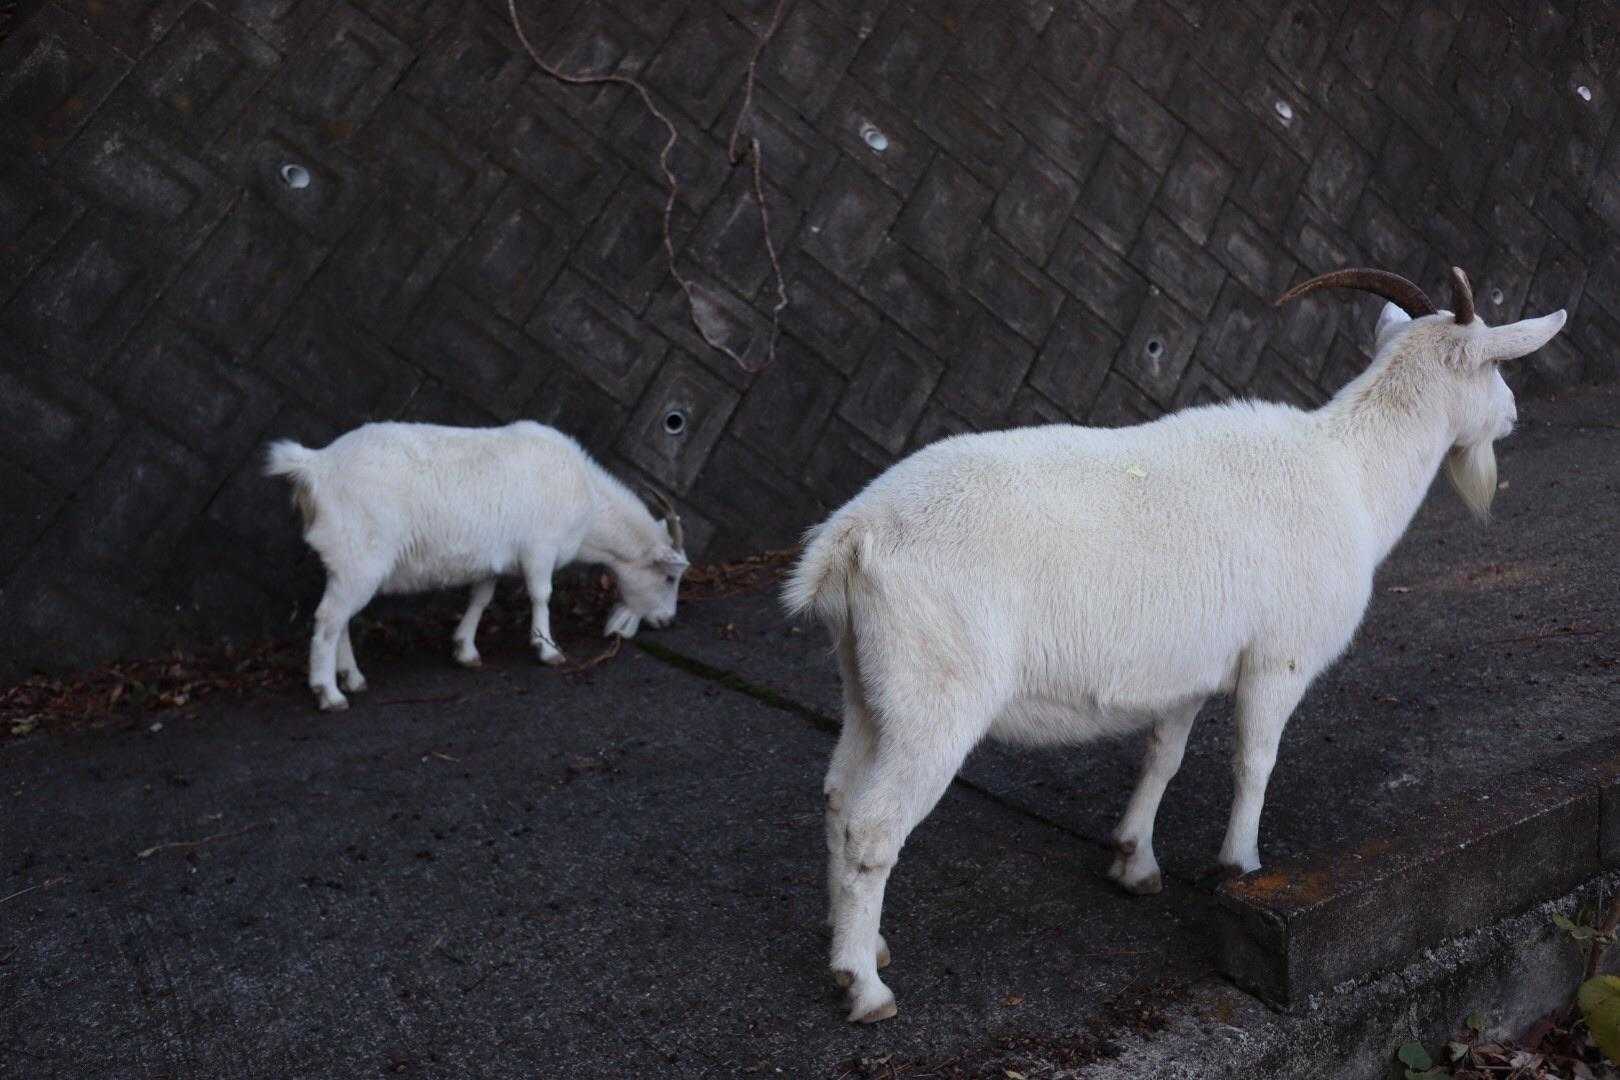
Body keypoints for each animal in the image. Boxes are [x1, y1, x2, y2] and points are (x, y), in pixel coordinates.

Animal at [265, 420, 688, 711]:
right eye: (669, 578)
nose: (667, 621)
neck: (588, 501)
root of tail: (316, 465)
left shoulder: (493, 561)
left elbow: (481, 598)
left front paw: (465, 650)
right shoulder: (540, 548)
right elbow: (542, 594)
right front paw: (548, 649)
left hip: (349, 567)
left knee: (341, 620)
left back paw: (352, 678)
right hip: (360, 561)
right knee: (328, 620)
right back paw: (329, 693)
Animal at [783, 267, 1567, 1023]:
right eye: (1496, 365)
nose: (1515, 415)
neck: (1348, 471)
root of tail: (850, 537)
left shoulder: (1185, 672)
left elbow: (1164, 757)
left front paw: (1135, 862)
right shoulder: (1277, 659)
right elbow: (1254, 762)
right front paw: (1241, 867)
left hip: (870, 685)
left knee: (837, 795)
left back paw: (859, 945)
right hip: (936, 696)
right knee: (873, 829)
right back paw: (865, 989)